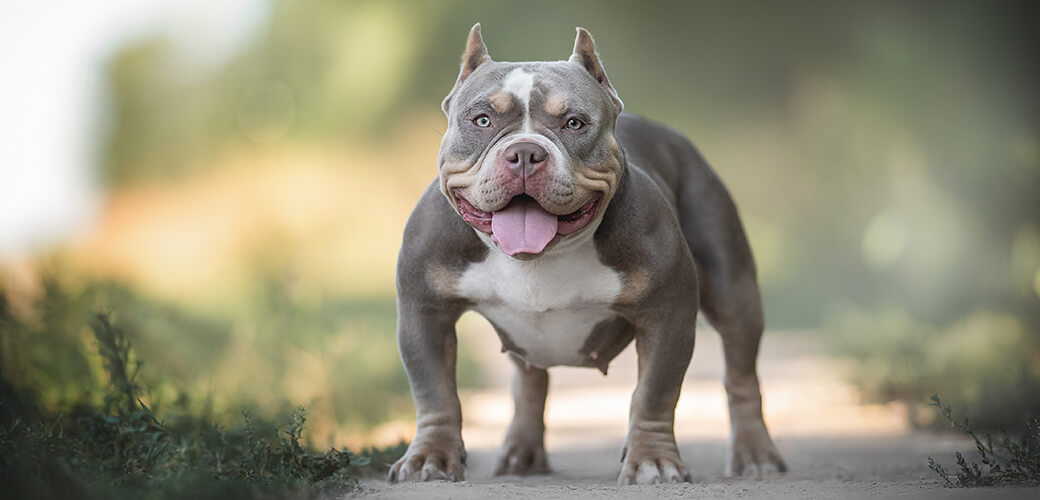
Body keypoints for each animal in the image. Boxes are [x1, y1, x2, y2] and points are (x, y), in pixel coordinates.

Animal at [391, 24, 782, 482]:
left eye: (574, 123)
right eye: (482, 120)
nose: (525, 152)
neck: (542, 257)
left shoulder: (667, 316)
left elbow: (654, 395)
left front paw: (652, 460)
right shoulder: (425, 313)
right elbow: (435, 393)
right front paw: (430, 457)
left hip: (733, 291)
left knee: (742, 374)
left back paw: (755, 454)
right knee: (529, 382)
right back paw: (521, 453)